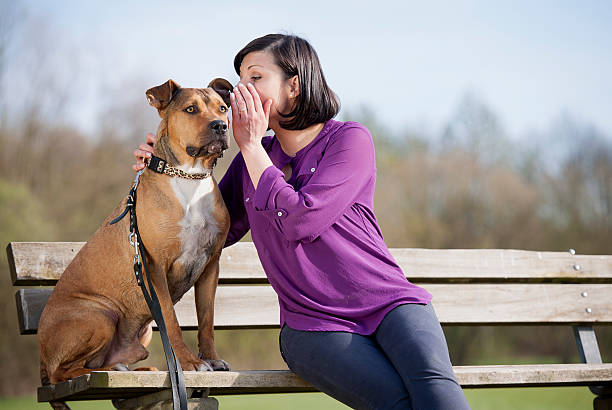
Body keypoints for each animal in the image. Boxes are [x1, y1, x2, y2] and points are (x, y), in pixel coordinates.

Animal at [37, 79, 234, 394]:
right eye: (191, 109)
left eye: (223, 108)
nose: (220, 126)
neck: (189, 176)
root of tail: (42, 361)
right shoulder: (155, 268)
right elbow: (172, 321)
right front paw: (190, 364)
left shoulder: (210, 266)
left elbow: (207, 321)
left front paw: (212, 359)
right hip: (100, 315)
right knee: (64, 372)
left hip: (141, 332)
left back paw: (134, 368)